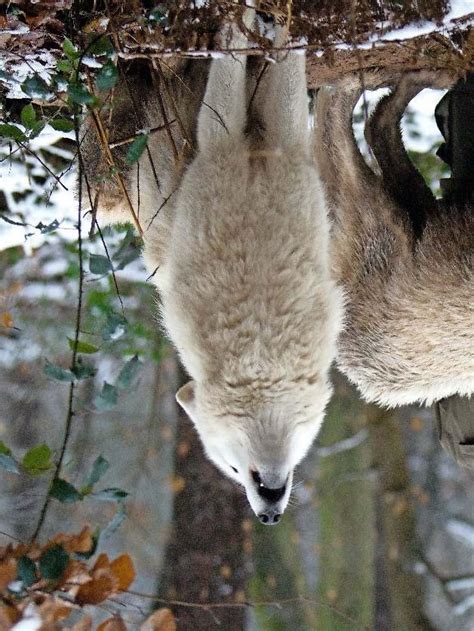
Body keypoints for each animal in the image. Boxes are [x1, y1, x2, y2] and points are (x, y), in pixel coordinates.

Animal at [81, 8, 340, 524]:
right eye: (233, 471)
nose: (268, 516)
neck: (264, 371)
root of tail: (251, 156)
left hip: (222, 146)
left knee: (225, 96)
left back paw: (237, 30)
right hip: (283, 140)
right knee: (280, 67)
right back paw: (263, 26)